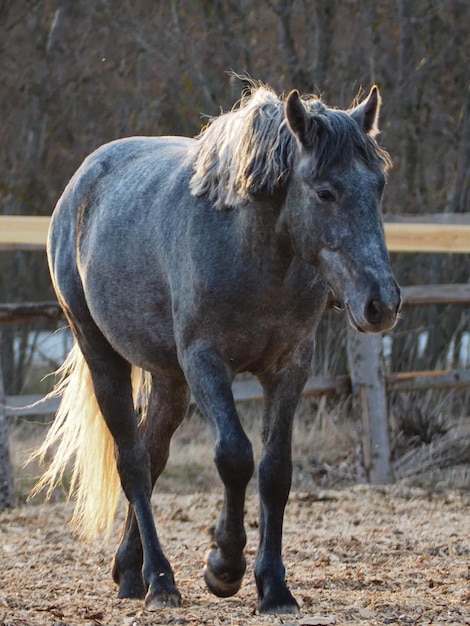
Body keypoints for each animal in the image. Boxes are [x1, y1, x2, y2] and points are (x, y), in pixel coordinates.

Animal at [33, 80, 400, 612]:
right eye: (325, 191)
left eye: (378, 186)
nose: (381, 303)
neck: (251, 250)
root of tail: (79, 187)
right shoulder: (206, 362)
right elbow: (235, 456)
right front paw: (223, 566)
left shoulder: (290, 367)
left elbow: (275, 470)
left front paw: (274, 588)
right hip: (103, 355)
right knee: (133, 463)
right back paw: (161, 581)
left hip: (169, 380)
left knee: (152, 455)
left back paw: (129, 572)